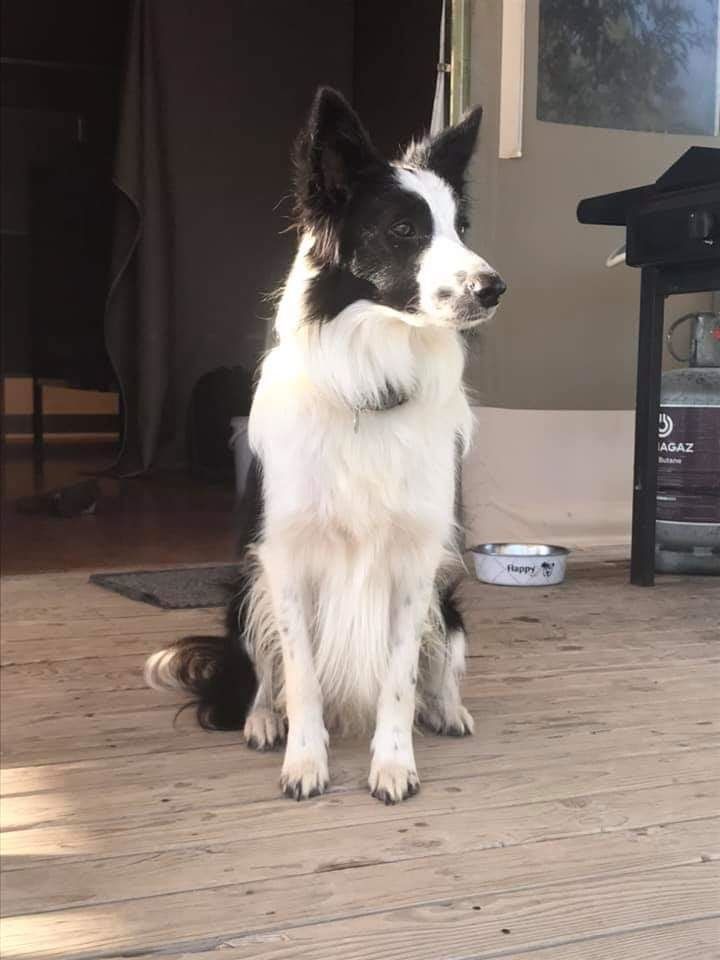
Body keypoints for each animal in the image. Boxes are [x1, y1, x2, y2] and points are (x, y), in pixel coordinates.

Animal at [145, 87, 506, 804]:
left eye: (461, 228)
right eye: (404, 230)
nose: (493, 288)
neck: (372, 383)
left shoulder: (416, 563)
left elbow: (398, 679)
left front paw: (392, 763)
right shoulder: (284, 557)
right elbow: (302, 673)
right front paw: (305, 760)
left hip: (448, 606)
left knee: (441, 662)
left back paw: (447, 709)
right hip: (244, 587)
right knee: (263, 671)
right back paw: (263, 720)